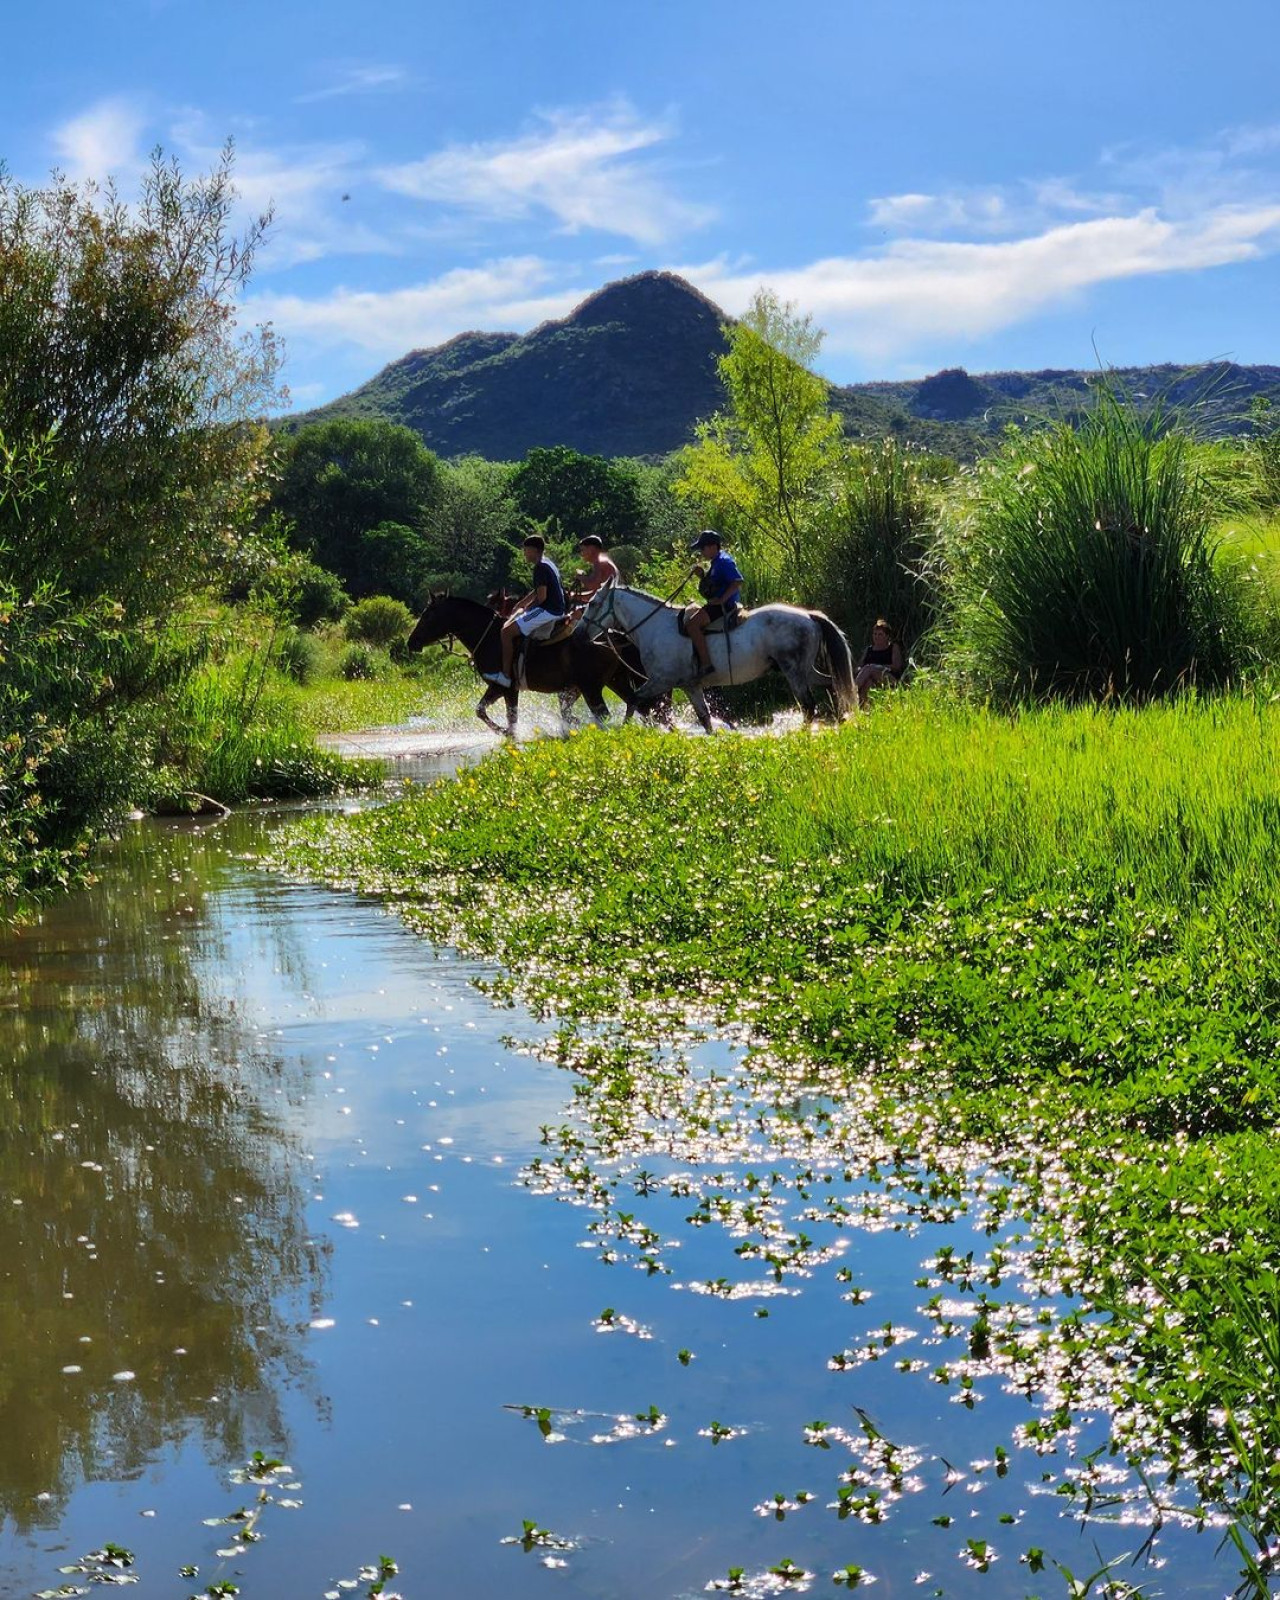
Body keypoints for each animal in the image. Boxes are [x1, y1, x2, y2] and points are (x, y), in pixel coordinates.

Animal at [408, 595, 649, 736]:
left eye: (427, 616)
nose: (412, 642)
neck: (490, 637)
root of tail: (613, 634)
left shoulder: (504, 687)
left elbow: (502, 716)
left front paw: (506, 732)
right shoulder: (501, 688)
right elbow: (484, 711)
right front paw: (506, 732)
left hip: (592, 687)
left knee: (607, 714)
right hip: (614, 680)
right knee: (635, 702)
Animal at [585, 582, 857, 732]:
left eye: (594, 603)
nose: (582, 631)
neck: (655, 627)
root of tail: (809, 616)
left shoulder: (661, 681)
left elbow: (633, 699)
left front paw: (625, 731)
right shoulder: (690, 686)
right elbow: (704, 718)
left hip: (794, 672)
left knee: (808, 705)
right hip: (806, 670)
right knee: (832, 684)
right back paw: (842, 719)